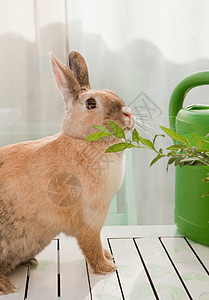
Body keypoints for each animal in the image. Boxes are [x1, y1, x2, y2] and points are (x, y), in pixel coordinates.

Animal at [0, 50, 136, 294]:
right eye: (91, 103)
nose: (128, 114)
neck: (85, 142)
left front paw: (109, 257)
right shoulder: (89, 221)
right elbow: (92, 247)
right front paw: (107, 267)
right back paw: (8, 287)